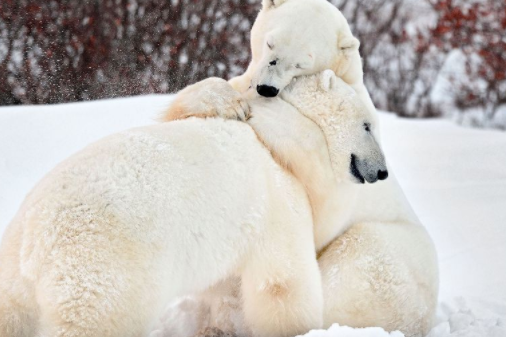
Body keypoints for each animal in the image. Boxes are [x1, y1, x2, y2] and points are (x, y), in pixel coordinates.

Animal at [0, 71, 382, 336]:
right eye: (367, 126)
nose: (382, 171)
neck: (280, 145)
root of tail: (36, 238)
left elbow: (226, 285)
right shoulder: (279, 203)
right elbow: (283, 283)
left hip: (12, 276)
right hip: (102, 269)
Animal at [163, 0, 438, 334]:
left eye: (301, 64)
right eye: (270, 44)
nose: (266, 88)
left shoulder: (340, 181)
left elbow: (321, 191)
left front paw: (259, 109)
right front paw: (229, 101)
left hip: (389, 260)